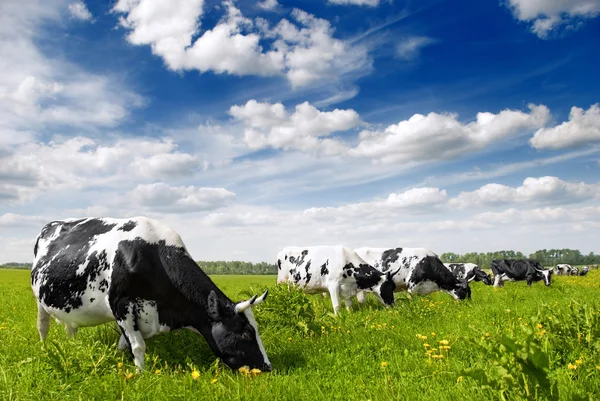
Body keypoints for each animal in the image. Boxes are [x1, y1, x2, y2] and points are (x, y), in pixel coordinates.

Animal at [30, 217, 270, 370]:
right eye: (246, 334)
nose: (268, 367)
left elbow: (124, 344)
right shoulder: (121, 305)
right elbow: (137, 346)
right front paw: (140, 375)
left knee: (70, 327)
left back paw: (73, 346)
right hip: (39, 300)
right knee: (42, 326)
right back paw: (44, 349)